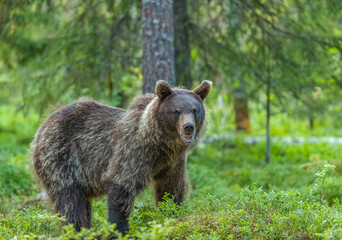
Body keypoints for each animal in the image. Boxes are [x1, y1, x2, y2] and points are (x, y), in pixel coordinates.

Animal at [31, 79, 211, 235]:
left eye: (195, 110)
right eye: (176, 111)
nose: (188, 127)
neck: (160, 144)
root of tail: (43, 124)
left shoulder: (173, 162)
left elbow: (171, 190)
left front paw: (170, 216)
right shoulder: (132, 151)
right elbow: (121, 187)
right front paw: (118, 230)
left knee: (82, 202)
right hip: (61, 157)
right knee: (69, 199)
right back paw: (76, 230)